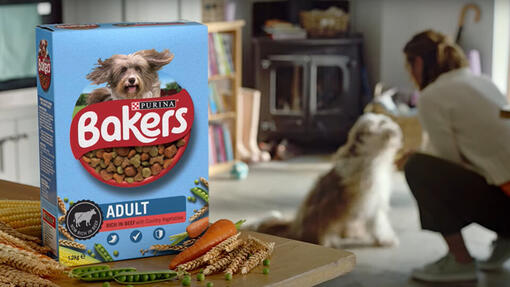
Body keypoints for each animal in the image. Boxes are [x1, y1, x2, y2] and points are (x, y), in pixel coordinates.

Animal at [251, 113, 402, 249]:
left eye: (385, 121)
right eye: (382, 123)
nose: (396, 127)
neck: (371, 157)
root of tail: (294, 228)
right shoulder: (371, 203)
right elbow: (378, 223)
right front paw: (386, 240)